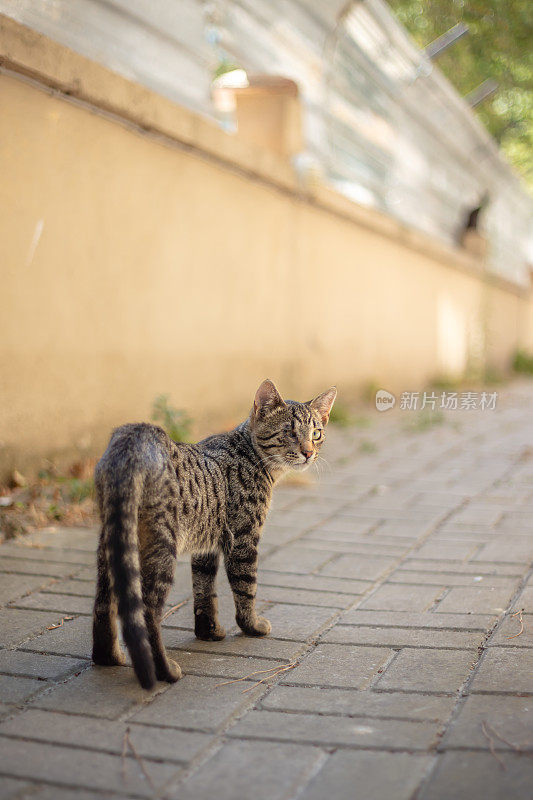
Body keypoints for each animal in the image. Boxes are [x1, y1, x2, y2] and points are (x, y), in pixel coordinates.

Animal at [91, 380, 332, 688]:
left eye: (316, 433)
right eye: (289, 432)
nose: (309, 452)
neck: (252, 456)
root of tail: (135, 438)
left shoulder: (205, 546)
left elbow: (205, 591)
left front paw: (209, 631)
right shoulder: (243, 539)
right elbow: (246, 587)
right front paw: (252, 626)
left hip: (112, 543)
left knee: (103, 604)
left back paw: (108, 657)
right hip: (162, 548)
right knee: (147, 612)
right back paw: (165, 670)